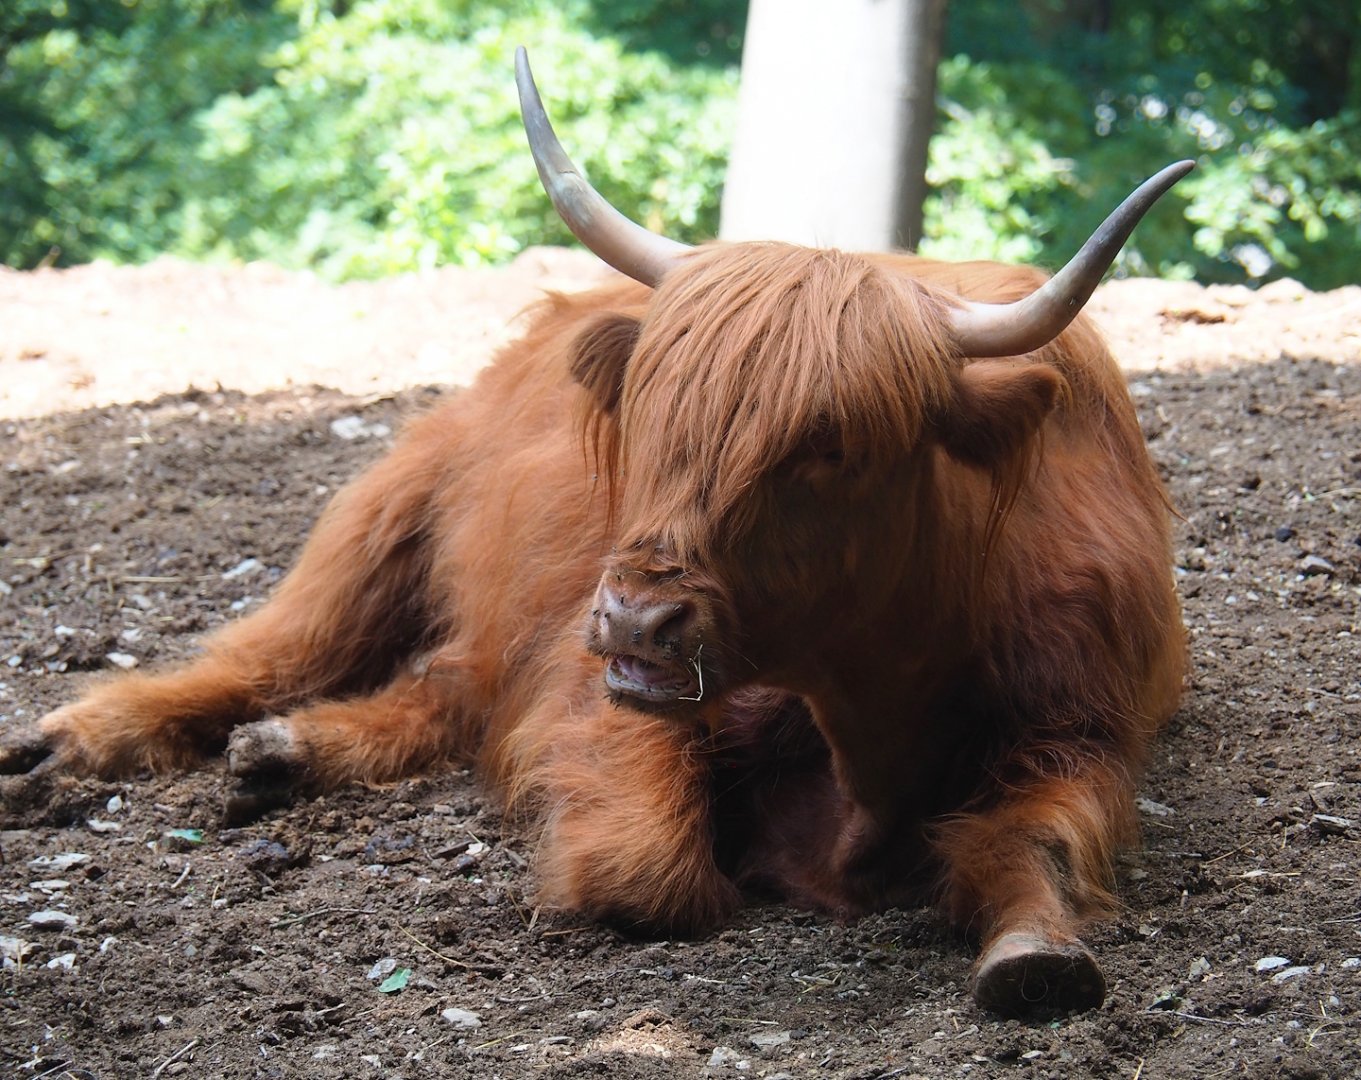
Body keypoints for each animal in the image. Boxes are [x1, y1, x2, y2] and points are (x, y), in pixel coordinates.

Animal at [0, 48, 1189, 1018]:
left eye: (833, 444)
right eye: (651, 413)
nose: (632, 619)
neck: (871, 728)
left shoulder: (1083, 732)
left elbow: (1025, 841)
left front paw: (1034, 952)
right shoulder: (600, 695)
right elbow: (641, 867)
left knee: (449, 686)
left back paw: (283, 753)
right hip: (387, 511)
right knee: (273, 652)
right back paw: (69, 744)